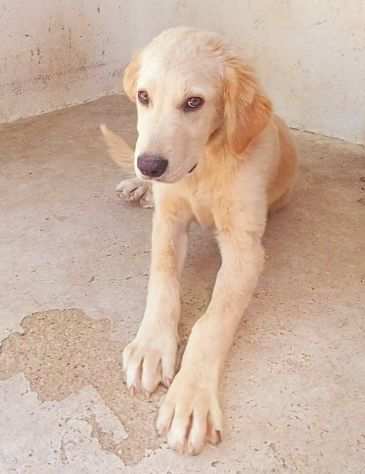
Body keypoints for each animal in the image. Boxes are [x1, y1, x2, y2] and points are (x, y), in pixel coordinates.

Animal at [100, 26, 296, 456]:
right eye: (144, 96)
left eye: (194, 102)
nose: (150, 165)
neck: (204, 164)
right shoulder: (168, 220)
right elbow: (162, 282)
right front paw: (151, 346)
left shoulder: (244, 250)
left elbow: (212, 321)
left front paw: (189, 400)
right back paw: (137, 187)